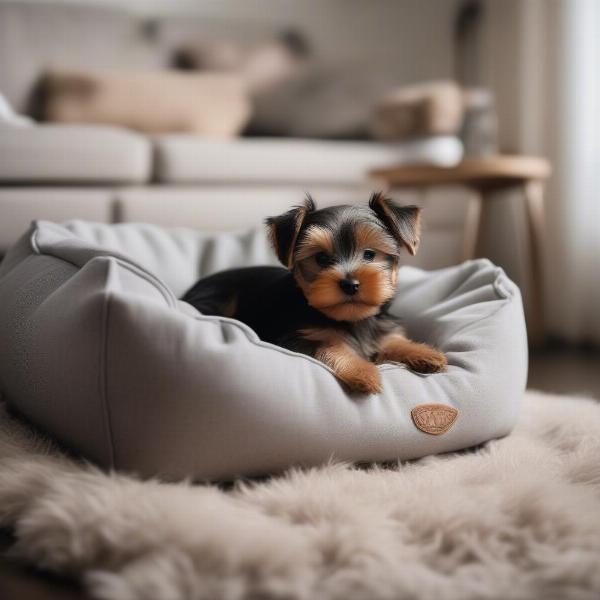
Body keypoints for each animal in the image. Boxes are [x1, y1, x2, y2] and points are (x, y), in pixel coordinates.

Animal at [180, 192, 448, 396]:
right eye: (321, 258)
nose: (350, 284)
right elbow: (331, 346)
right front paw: (363, 373)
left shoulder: (379, 328)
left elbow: (390, 339)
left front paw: (425, 353)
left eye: (370, 254)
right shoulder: (298, 339)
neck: (351, 319)